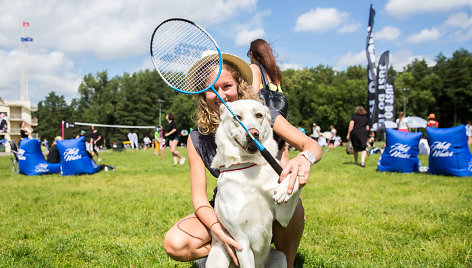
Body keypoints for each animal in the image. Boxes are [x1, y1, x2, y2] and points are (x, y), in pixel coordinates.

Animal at [204, 100, 300, 268]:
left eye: (259, 115)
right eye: (237, 117)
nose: (253, 133)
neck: (250, 170)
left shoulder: (283, 218)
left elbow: (294, 180)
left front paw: (285, 188)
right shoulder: (241, 241)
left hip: (280, 257)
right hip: (218, 255)